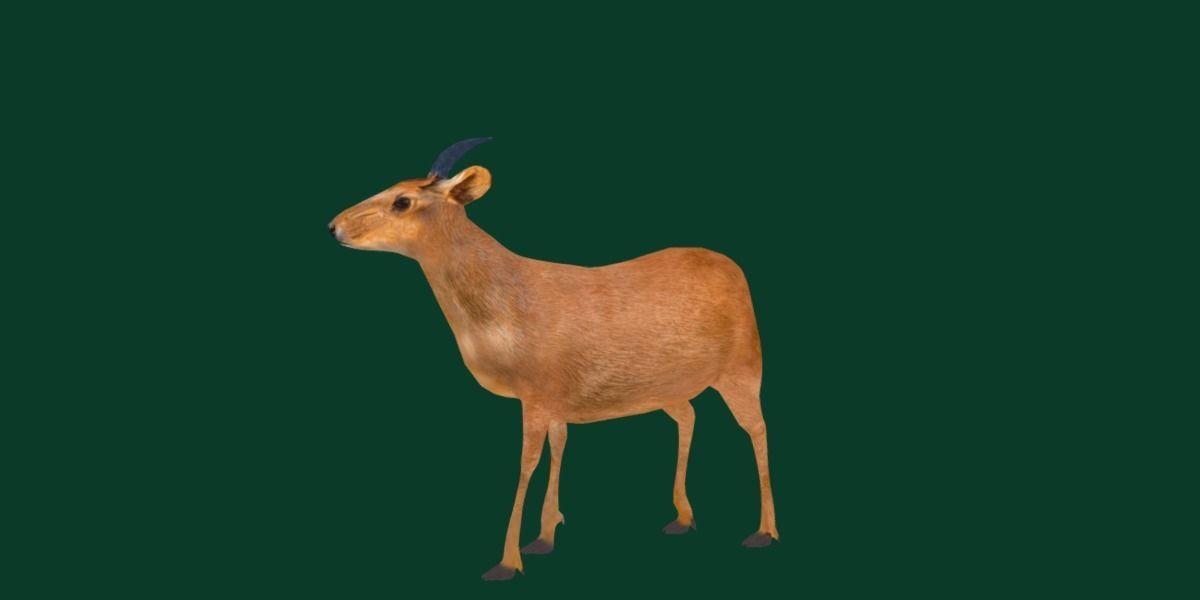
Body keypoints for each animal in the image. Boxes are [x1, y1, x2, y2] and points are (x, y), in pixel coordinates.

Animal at [328, 139, 779, 580]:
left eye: (402, 201)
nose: (334, 226)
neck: (504, 310)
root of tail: (734, 268)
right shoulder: (557, 399)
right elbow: (559, 446)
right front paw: (545, 536)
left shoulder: (537, 392)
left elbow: (526, 463)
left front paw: (507, 561)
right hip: (667, 387)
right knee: (689, 415)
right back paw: (683, 516)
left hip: (743, 367)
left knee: (757, 428)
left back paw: (764, 530)